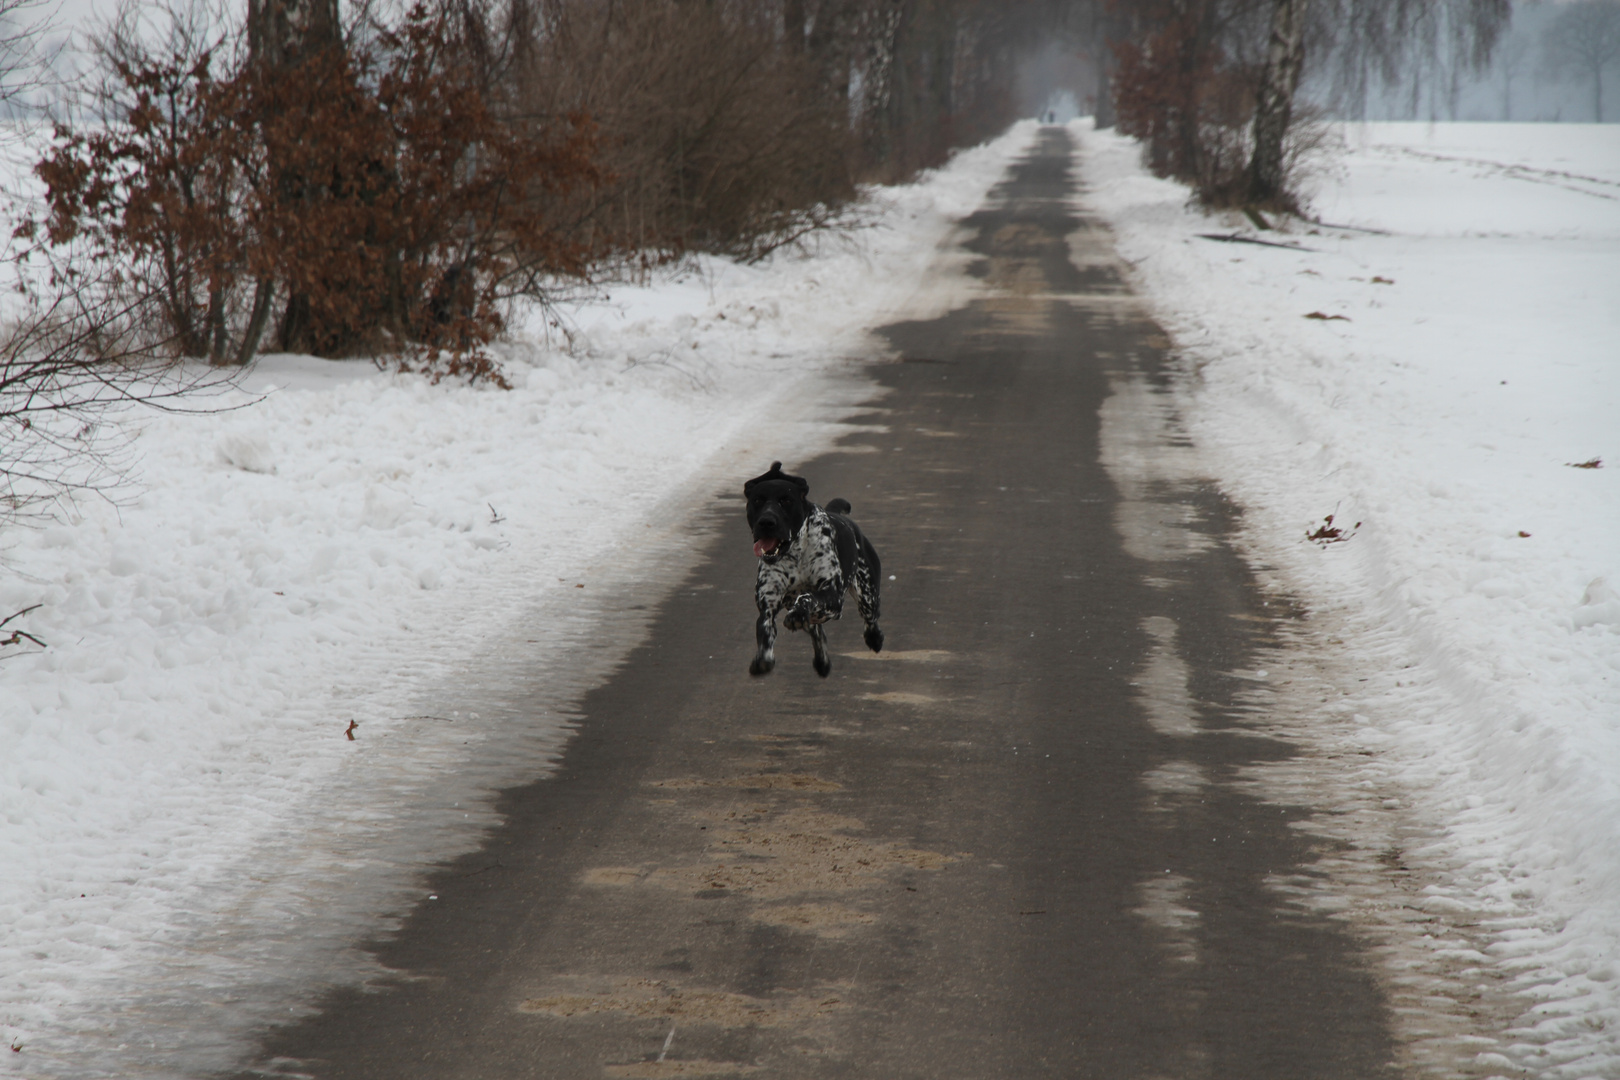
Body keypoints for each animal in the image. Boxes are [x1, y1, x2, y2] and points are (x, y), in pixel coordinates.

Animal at [745, 463, 887, 680]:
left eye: (786, 500)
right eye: (757, 500)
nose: (766, 522)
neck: (795, 554)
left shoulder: (832, 594)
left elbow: (807, 597)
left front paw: (798, 612)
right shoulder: (768, 602)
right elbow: (766, 628)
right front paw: (763, 659)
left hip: (867, 595)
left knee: (870, 618)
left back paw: (874, 638)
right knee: (817, 631)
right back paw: (822, 661)